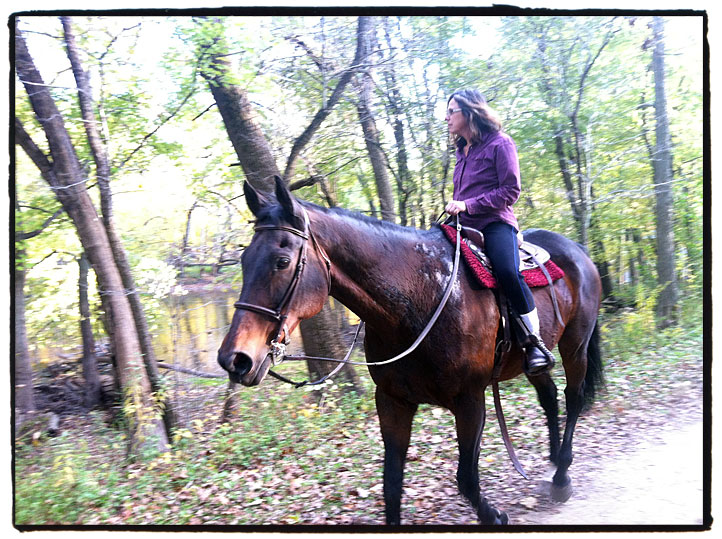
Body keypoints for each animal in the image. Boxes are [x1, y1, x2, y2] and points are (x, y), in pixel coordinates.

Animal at [217, 176, 603, 525]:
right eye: (244, 259)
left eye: (282, 261)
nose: (235, 359)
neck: (421, 299)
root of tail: (577, 251)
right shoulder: (392, 401)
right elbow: (391, 484)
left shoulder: (470, 399)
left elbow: (466, 477)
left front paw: (493, 516)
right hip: (531, 360)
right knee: (549, 396)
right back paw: (552, 462)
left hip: (574, 346)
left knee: (572, 396)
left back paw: (562, 475)